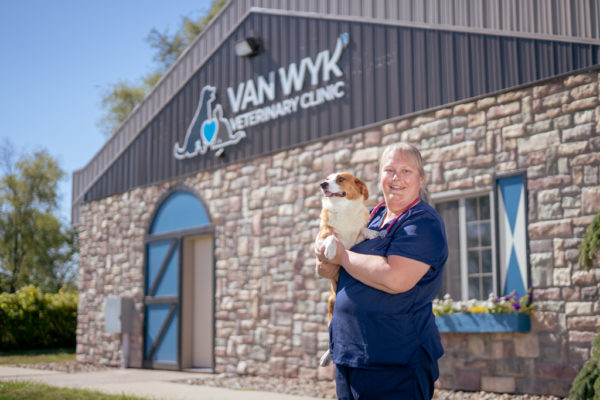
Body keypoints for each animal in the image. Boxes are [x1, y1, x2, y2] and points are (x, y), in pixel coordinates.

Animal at [316, 172, 378, 366]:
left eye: (340, 179)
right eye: (326, 179)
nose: (322, 184)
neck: (343, 209)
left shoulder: (354, 244)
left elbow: (361, 231)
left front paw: (371, 232)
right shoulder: (318, 242)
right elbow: (332, 238)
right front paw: (331, 248)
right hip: (331, 308)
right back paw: (326, 357)